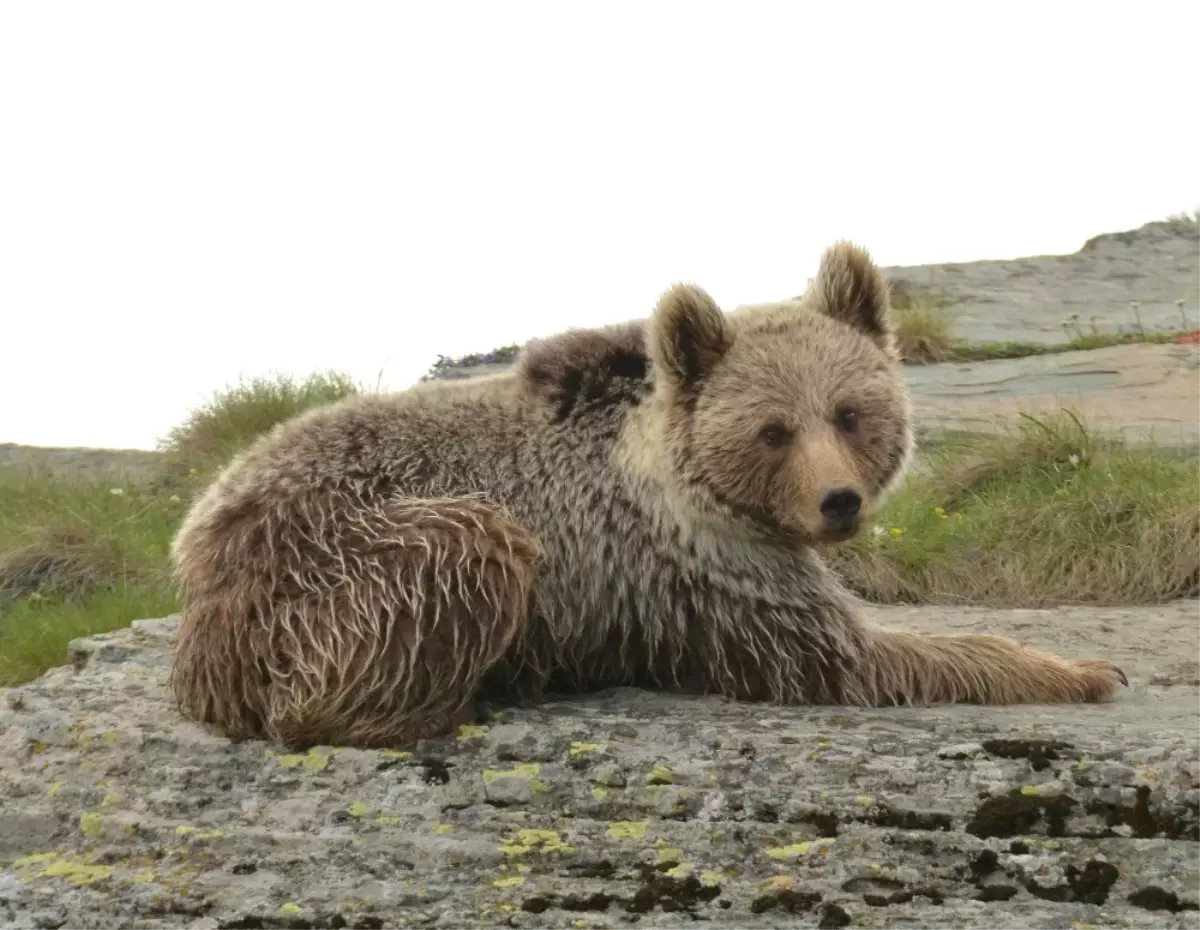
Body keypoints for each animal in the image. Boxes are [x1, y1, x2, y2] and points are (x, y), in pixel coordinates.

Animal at [166, 240, 1123, 748]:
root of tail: (198, 547)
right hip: (333, 564)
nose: (839, 502)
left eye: (850, 412)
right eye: (773, 429)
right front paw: (1080, 668)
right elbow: (852, 656)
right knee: (457, 557)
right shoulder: (698, 572)